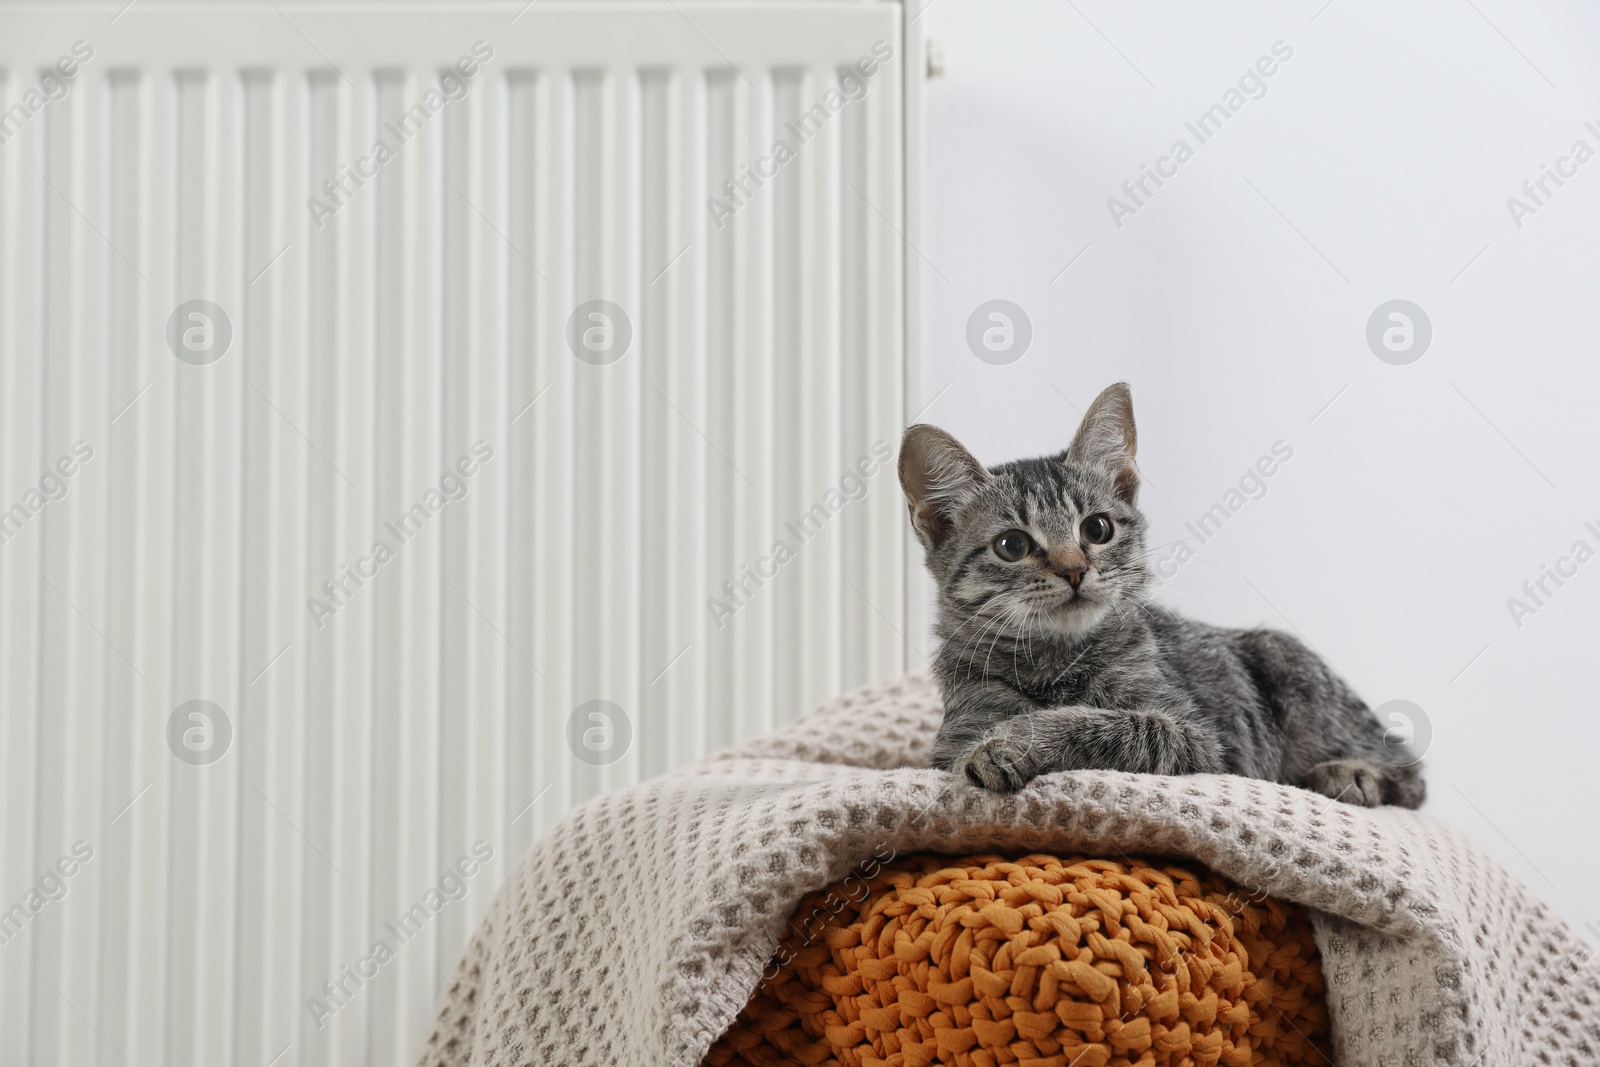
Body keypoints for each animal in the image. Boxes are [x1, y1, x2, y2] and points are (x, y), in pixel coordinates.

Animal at [902, 383, 1427, 809]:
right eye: (1012, 546)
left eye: (1097, 529)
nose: (1075, 570)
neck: (1058, 663)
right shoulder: (954, 737)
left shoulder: (1202, 739)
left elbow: (1114, 724)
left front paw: (1016, 740)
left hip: (1290, 666)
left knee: (1411, 774)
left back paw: (1352, 774)